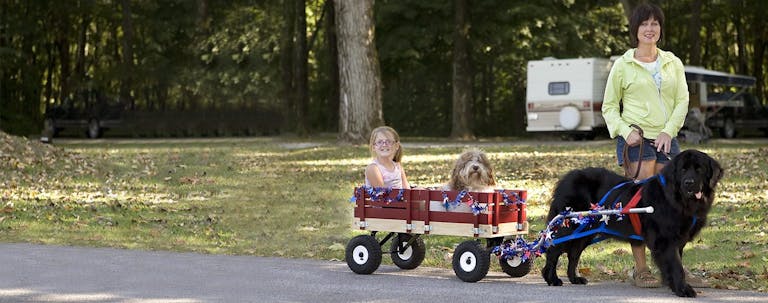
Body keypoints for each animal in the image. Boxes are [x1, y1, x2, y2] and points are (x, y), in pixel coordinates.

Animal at [544, 150, 724, 296]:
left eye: (699, 169)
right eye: (683, 169)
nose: (689, 183)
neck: (676, 199)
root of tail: (567, 178)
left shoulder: (678, 240)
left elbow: (676, 264)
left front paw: (675, 286)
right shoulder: (665, 241)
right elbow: (676, 266)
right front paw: (683, 289)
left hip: (585, 231)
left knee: (573, 254)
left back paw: (574, 278)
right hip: (568, 227)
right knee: (553, 250)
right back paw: (552, 278)